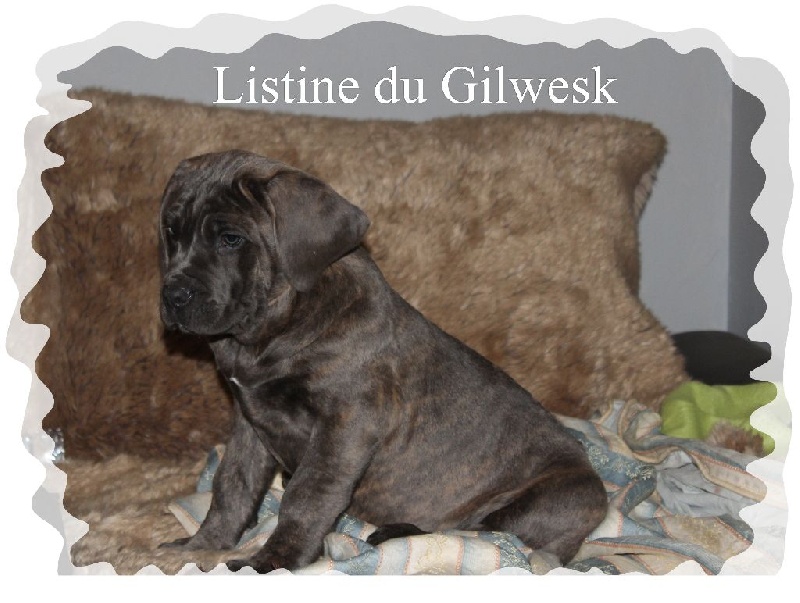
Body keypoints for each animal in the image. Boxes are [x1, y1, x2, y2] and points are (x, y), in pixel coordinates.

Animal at [158, 150, 608, 573]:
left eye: (231, 239)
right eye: (170, 232)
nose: (173, 296)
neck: (270, 332)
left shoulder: (347, 424)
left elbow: (307, 495)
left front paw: (275, 561)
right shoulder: (250, 421)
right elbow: (232, 485)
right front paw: (204, 545)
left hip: (556, 498)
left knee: (481, 530)